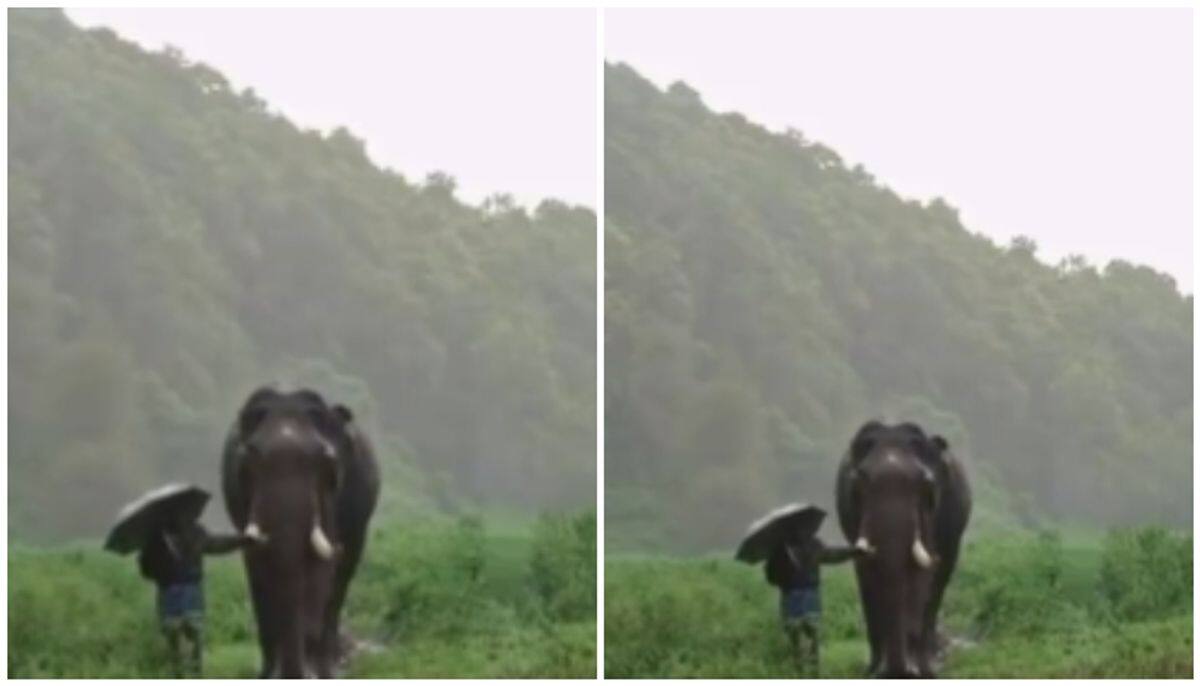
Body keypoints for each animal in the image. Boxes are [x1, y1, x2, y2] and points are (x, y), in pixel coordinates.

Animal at [220, 388, 379, 676]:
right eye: (245, 465)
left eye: (328, 464)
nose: (294, 672)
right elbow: (258, 568)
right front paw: (268, 675)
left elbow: (323, 569)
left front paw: (317, 674)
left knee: (343, 575)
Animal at [840, 419, 969, 676]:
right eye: (857, 486)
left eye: (927, 487)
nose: (897, 671)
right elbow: (867, 575)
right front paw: (875, 672)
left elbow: (924, 575)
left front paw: (920, 672)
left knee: (940, 580)